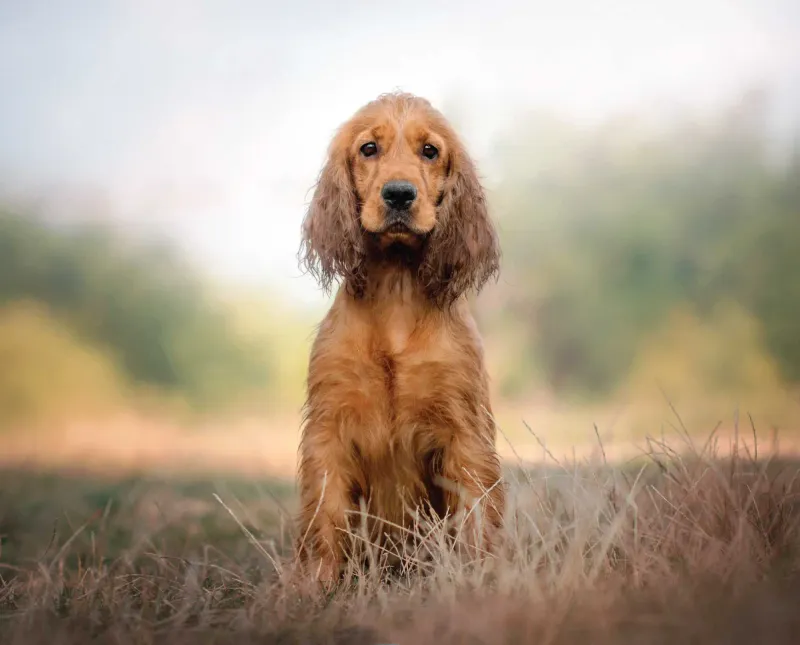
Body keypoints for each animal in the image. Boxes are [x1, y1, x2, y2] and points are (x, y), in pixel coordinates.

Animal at [294, 93, 506, 588]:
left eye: (430, 151)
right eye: (369, 148)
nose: (398, 194)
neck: (396, 287)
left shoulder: (464, 432)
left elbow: (477, 514)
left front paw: (479, 579)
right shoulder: (328, 429)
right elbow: (325, 517)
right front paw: (314, 587)